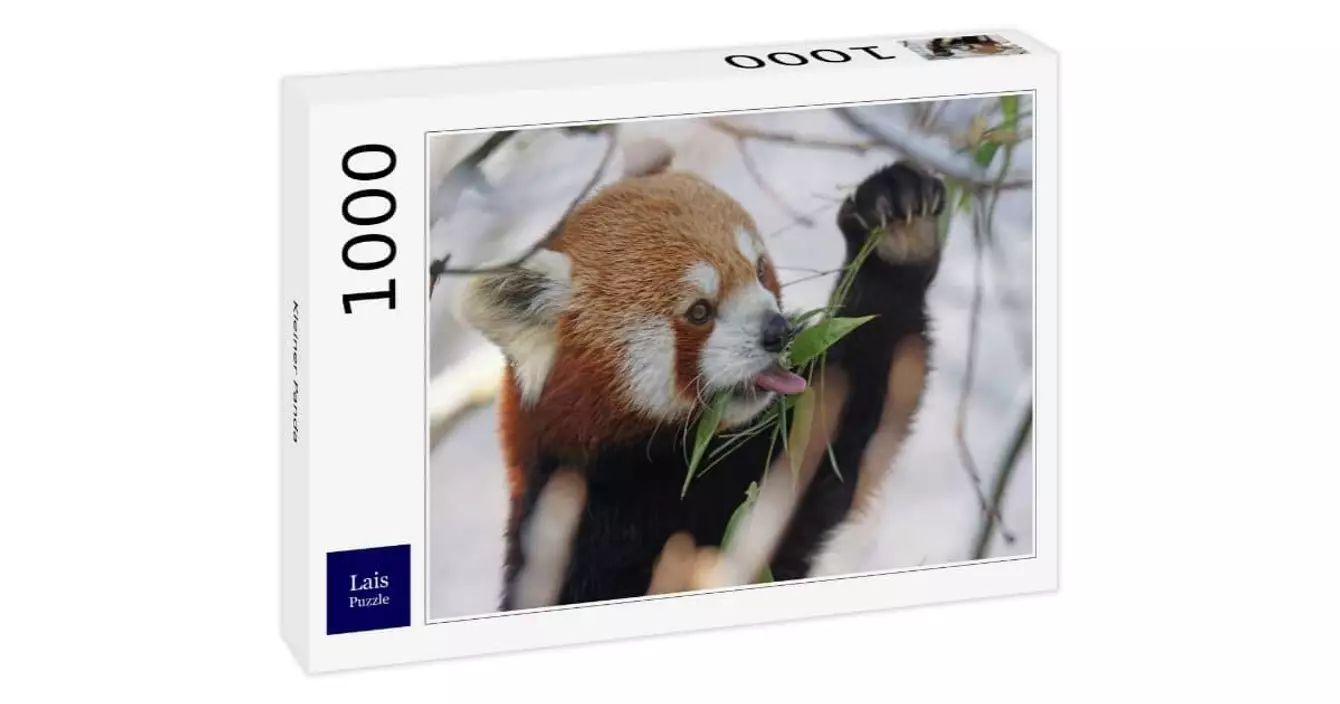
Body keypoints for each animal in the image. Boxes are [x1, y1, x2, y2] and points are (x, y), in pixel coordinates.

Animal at [458, 152, 945, 610]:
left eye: (760, 269)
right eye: (699, 311)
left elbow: (840, 419)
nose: (778, 331)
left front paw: (895, 226)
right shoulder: (578, 533)